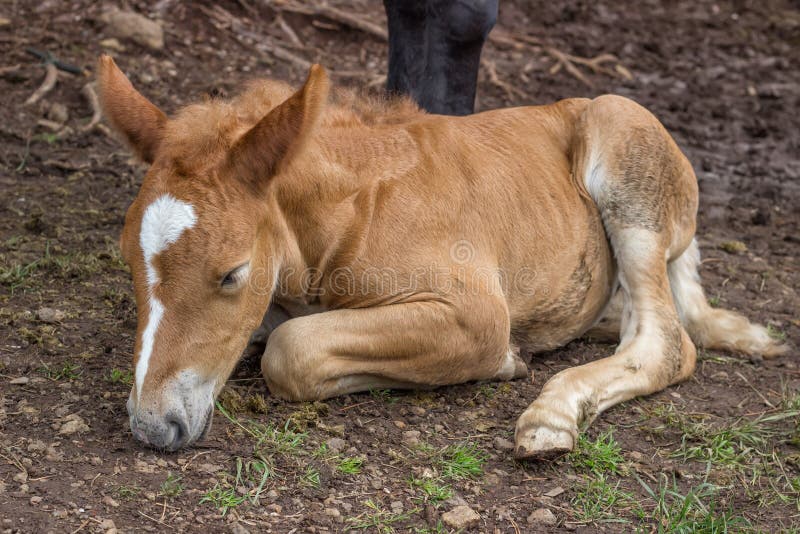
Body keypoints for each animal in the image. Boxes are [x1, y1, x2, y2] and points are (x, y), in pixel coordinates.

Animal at [95, 54, 788, 458]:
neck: (346, 216)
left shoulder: (474, 310)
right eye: (129, 263)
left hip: (627, 156)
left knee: (667, 342)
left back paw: (551, 417)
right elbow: (277, 333)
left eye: (232, 273)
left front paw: (502, 363)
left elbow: (292, 351)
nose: (153, 426)